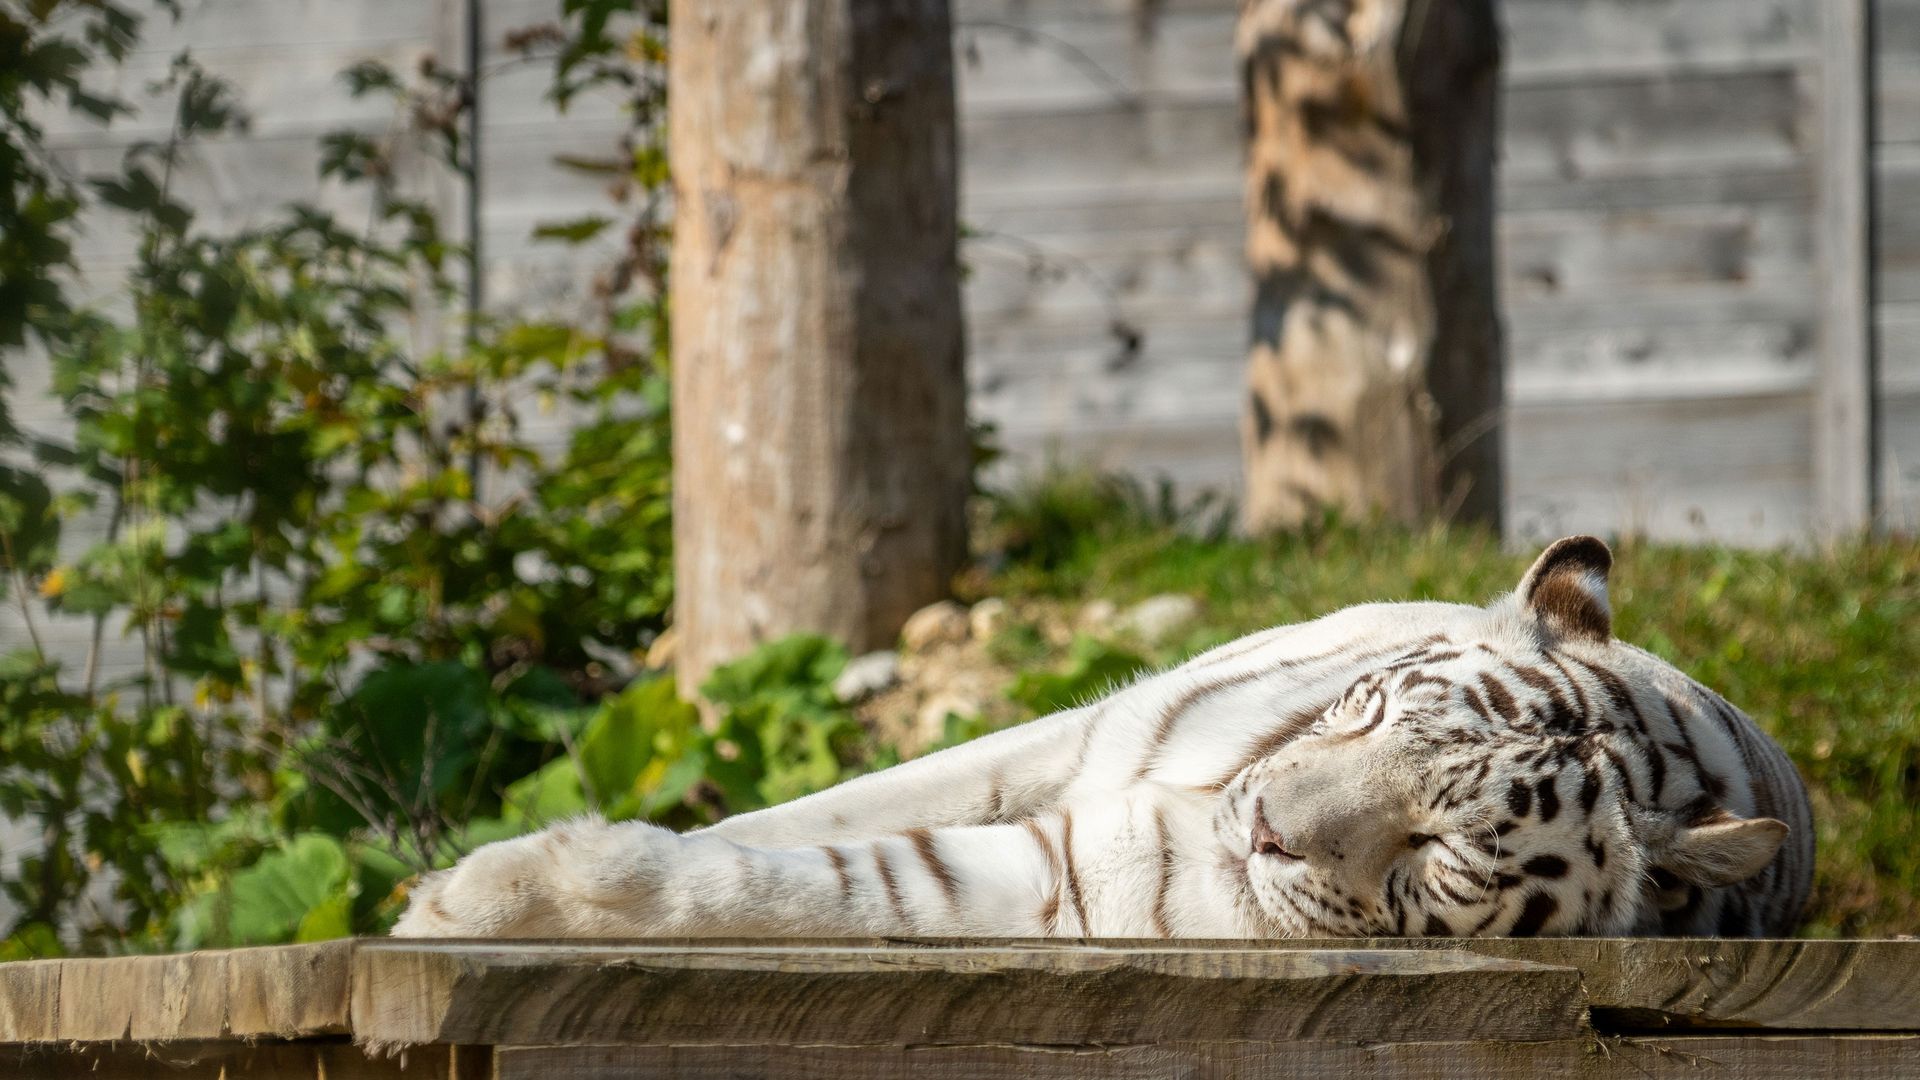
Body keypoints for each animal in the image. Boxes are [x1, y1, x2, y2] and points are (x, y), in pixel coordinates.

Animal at [393, 536, 1812, 940]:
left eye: (1440, 853)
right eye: (1373, 712)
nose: (1266, 822)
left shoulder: (1068, 873)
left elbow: (814, 882)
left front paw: (476, 896)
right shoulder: (1072, 738)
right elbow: (817, 815)